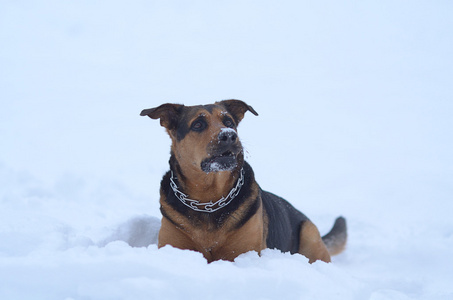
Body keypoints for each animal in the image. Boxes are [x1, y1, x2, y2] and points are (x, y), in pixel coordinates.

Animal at [141, 100, 346, 262]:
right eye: (198, 124)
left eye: (229, 122)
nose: (229, 135)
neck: (209, 199)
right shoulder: (173, 244)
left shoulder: (243, 252)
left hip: (309, 234)